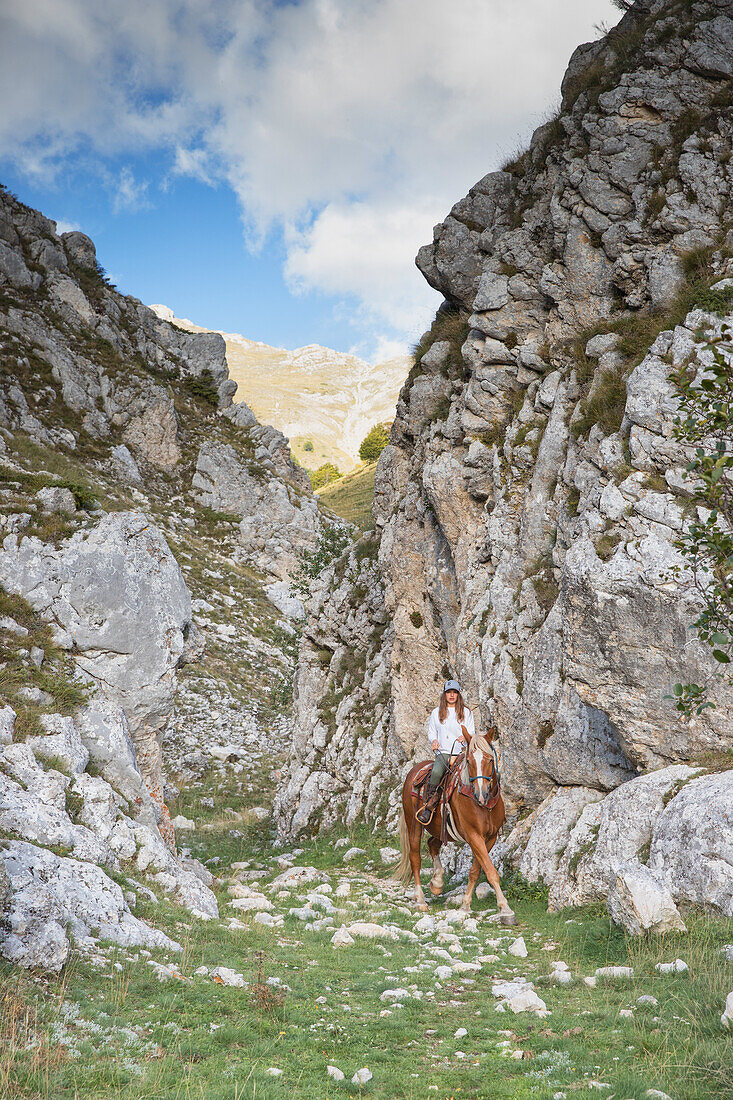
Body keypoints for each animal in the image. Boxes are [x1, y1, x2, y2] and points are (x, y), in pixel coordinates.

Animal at [391, 730, 517, 928]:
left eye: (490, 760)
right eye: (469, 761)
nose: (481, 794)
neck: (484, 806)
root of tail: (415, 769)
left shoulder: (490, 838)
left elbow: (475, 871)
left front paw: (465, 905)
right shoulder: (474, 835)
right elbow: (491, 871)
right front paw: (506, 910)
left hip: (440, 829)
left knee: (432, 844)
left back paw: (437, 882)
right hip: (415, 824)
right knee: (415, 858)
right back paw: (420, 899)